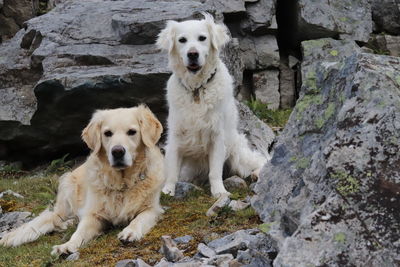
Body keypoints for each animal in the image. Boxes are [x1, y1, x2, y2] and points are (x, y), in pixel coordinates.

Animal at [0, 105, 164, 256]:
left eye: (132, 132)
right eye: (107, 133)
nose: (117, 151)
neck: (122, 183)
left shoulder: (152, 209)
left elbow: (139, 219)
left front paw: (130, 231)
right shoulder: (93, 215)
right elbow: (79, 232)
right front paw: (66, 246)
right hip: (67, 190)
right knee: (56, 219)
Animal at [156, 13, 268, 199]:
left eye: (202, 38)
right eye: (182, 40)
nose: (192, 54)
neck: (197, 89)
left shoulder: (217, 136)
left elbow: (215, 171)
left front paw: (219, 192)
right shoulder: (176, 136)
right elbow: (171, 169)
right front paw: (168, 190)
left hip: (237, 153)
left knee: (260, 161)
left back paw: (258, 173)